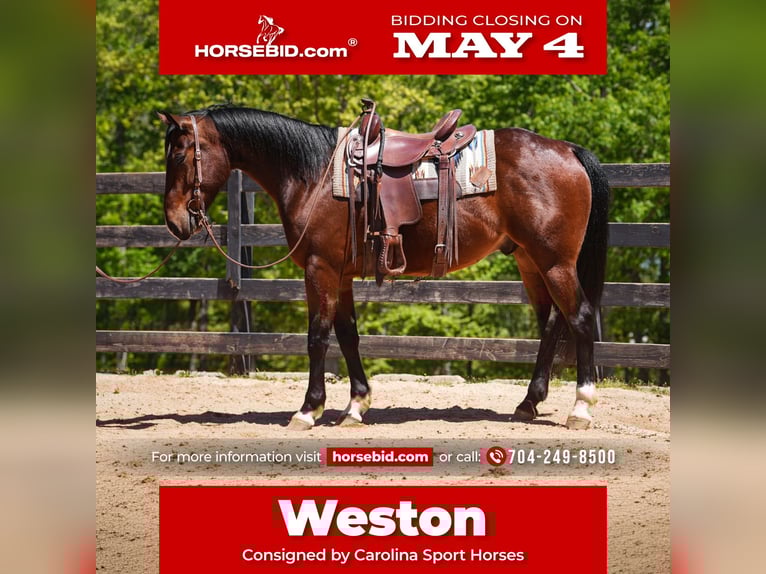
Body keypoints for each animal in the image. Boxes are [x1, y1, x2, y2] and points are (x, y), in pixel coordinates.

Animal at [157, 103, 610, 430]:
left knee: (580, 318)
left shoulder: (320, 269)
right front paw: (356, 405)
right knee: (551, 323)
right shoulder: (339, 275)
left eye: (179, 154)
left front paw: (308, 410)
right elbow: (348, 335)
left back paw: (581, 408)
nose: (175, 222)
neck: (313, 174)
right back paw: (528, 403)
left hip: (555, 262)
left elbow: (317, 337)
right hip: (531, 261)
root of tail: (568, 150)